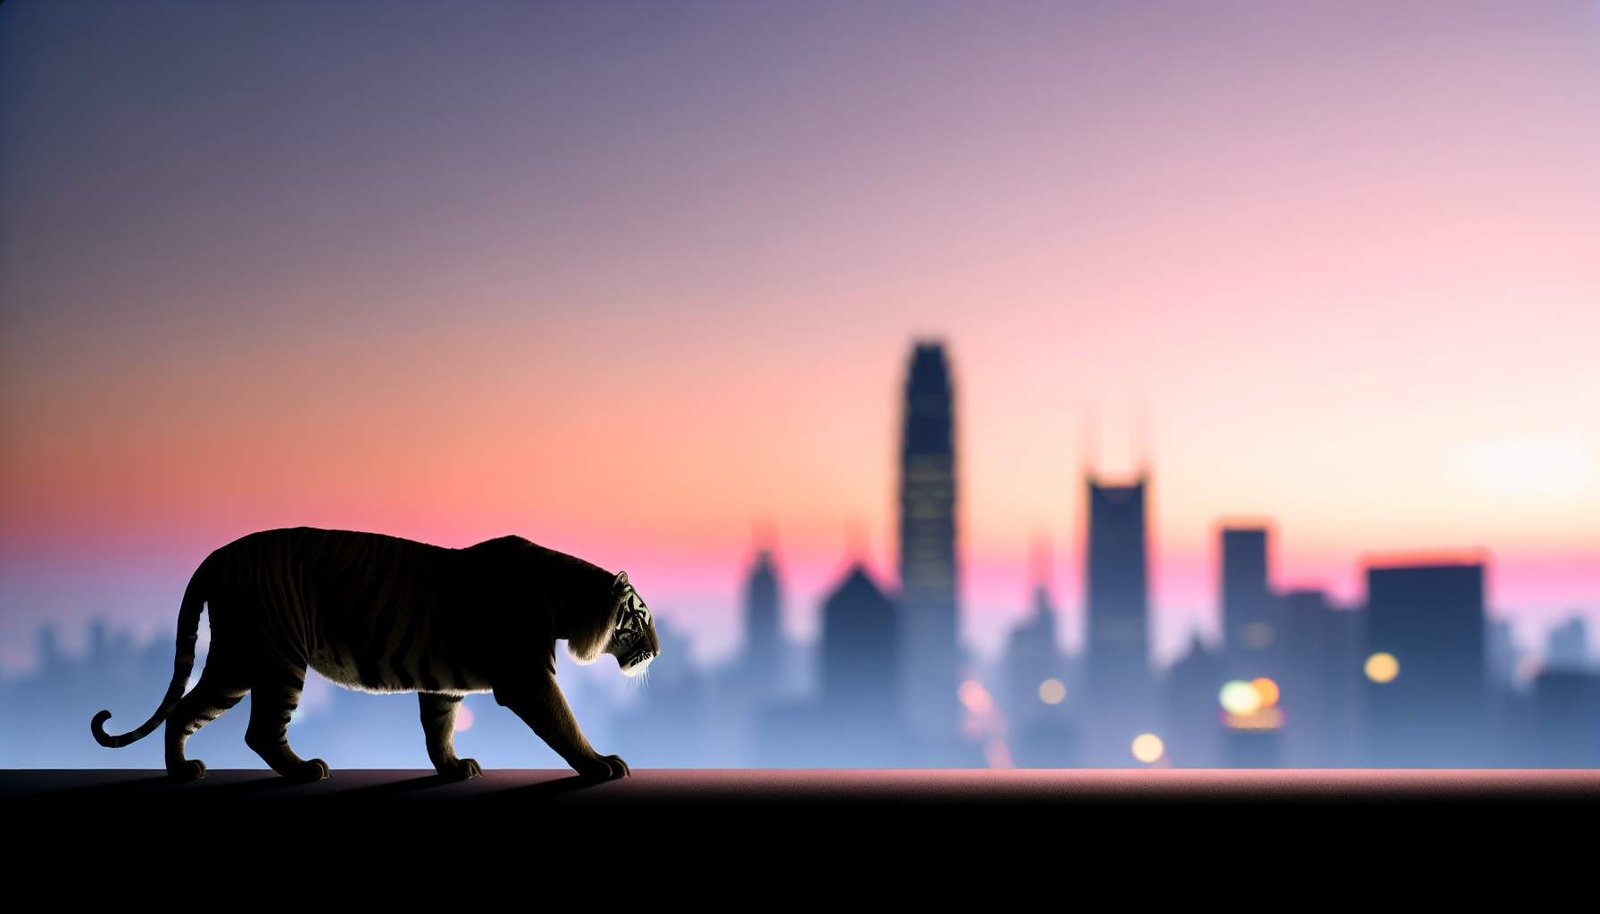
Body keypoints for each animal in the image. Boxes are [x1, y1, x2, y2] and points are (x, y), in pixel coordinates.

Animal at [90, 527, 659, 782]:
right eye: (640, 619)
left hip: (237, 658)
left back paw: (183, 771)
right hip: (274, 656)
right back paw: (304, 770)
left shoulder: (443, 683)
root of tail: (218, 555)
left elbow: (439, 729)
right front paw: (600, 764)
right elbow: (564, 723)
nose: (656, 651)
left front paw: (453, 767)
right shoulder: (528, 677)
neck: (567, 603)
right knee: (257, 730)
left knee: (187, 711)